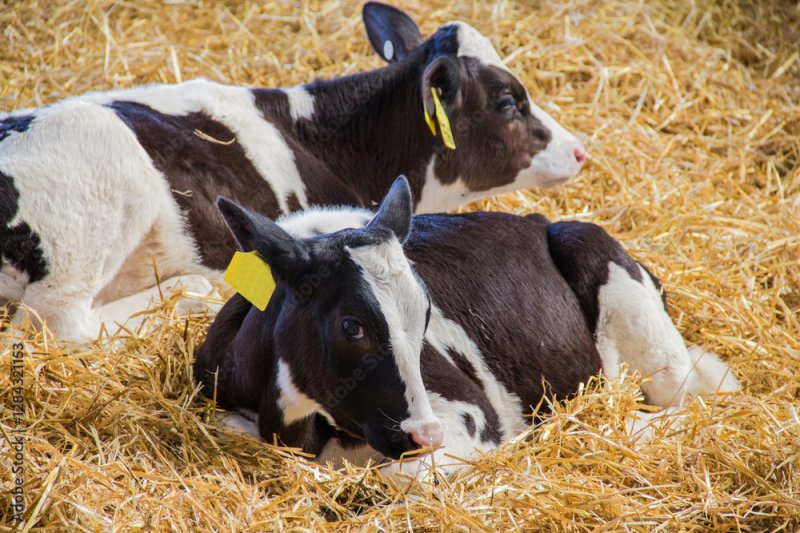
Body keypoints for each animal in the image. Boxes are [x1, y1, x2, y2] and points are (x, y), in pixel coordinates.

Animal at [0, 2, 585, 343]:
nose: (579, 150)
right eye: (508, 100)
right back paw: (190, 293)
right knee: (60, 324)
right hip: (101, 183)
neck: (330, 138)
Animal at [194, 176, 739, 481]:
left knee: (684, 401)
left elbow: (405, 478)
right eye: (352, 326)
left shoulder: (470, 413)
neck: (298, 428)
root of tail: (538, 220)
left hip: (640, 327)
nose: (425, 433)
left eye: (426, 313)